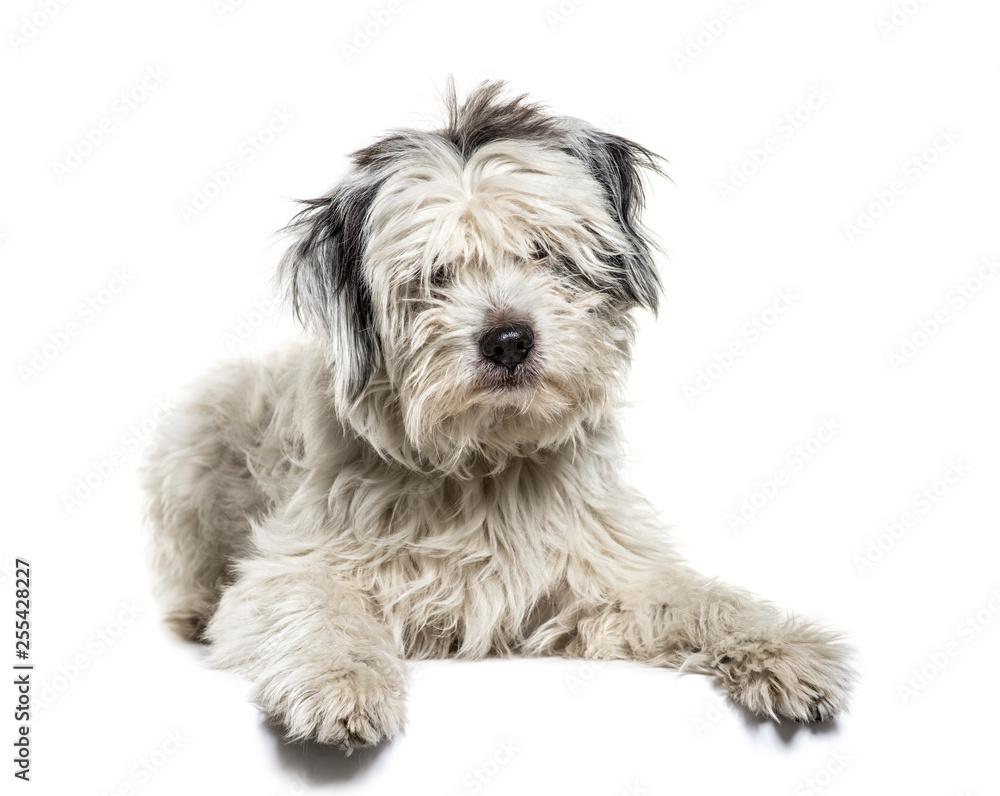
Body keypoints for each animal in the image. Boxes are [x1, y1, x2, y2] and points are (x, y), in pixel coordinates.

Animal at [143, 81, 852, 748]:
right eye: (435, 274)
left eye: (543, 251)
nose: (508, 341)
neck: (485, 463)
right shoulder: (291, 568)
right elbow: (320, 613)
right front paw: (343, 683)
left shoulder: (611, 577)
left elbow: (702, 601)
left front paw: (787, 648)